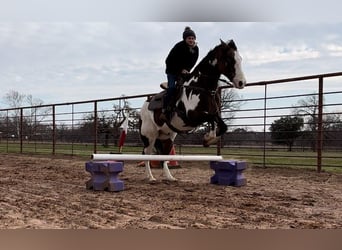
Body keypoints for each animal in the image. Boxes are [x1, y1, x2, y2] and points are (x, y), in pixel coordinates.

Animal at [139, 40, 246, 183]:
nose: (241, 82)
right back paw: (150, 177)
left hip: (167, 138)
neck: (202, 87)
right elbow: (212, 119)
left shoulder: (214, 114)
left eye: (240, 59)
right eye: (229, 59)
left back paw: (170, 177)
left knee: (163, 158)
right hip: (149, 137)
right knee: (146, 155)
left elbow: (221, 125)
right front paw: (208, 138)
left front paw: (208, 139)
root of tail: (142, 110)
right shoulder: (192, 116)